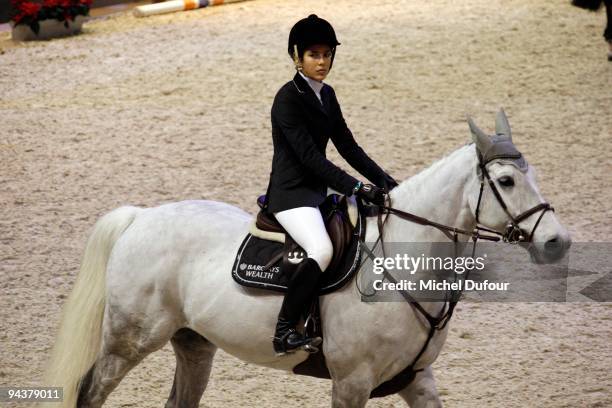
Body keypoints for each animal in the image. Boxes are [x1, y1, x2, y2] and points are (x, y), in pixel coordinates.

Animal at [45, 112, 572, 408]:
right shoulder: (352, 383)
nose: (557, 243)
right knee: (90, 392)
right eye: (505, 181)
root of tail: (142, 216)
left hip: (193, 345)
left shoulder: (417, 379)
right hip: (128, 342)